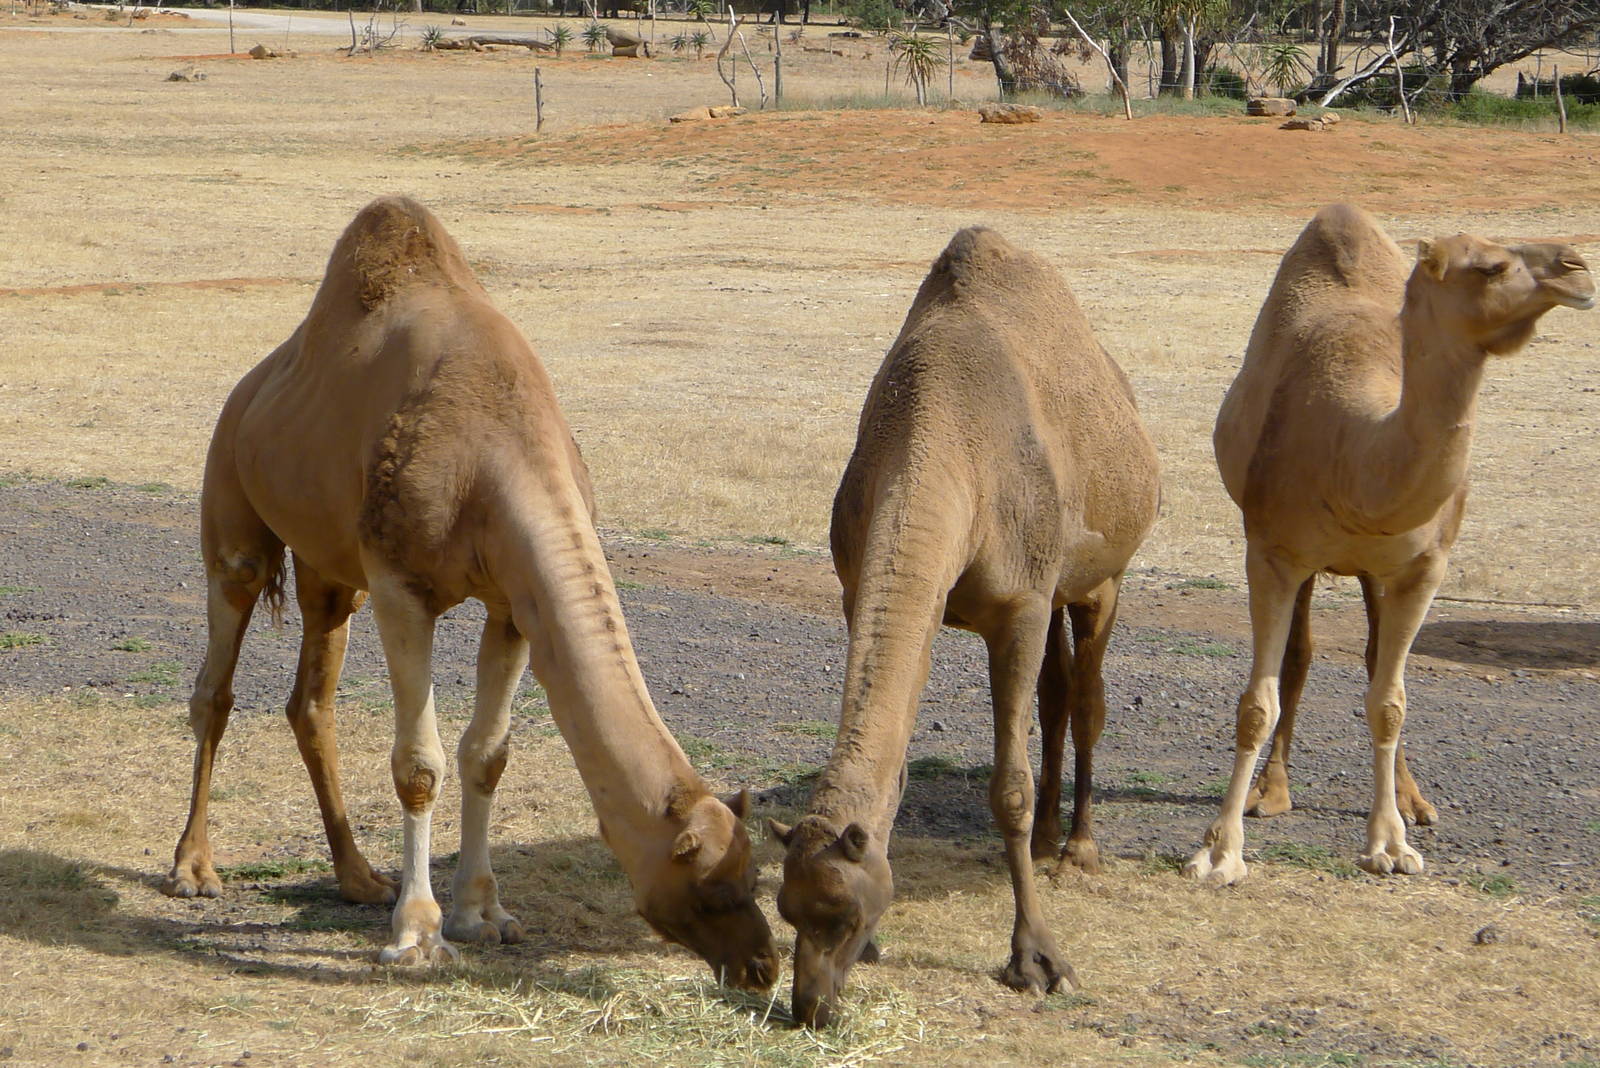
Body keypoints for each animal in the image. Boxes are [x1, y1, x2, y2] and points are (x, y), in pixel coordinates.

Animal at [160, 196, 777, 989]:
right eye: (710, 889)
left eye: (756, 875)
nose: (763, 967)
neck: (495, 455)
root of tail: (253, 385)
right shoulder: (402, 586)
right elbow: (418, 763)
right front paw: (417, 935)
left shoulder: (511, 600)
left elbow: (488, 753)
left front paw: (482, 914)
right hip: (232, 504)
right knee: (217, 679)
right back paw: (193, 869)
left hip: (332, 571)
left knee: (311, 700)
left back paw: (360, 877)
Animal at [768, 227, 1160, 1027]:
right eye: (787, 911)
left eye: (843, 915)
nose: (812, 1005)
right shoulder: (866, 586)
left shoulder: (1020, 606)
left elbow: (1008, 785)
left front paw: (1036, 960)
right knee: (1057, 692)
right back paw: (1047, 839)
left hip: (1101, 578)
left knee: (1089, 696)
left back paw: (1078, 847)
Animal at [1185, 204, 1594, 886]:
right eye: (1492, 266)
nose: (1578, 266)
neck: (1356, 456)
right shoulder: (1271, 553)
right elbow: (1257, 703)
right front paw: (1219, 851)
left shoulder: (1424, 567)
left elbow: (1389, 701)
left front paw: (1392, 844)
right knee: (1300, 656)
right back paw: (1272, 792)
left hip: (1376, 570)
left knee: (1377, 661)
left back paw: (1413, 800)